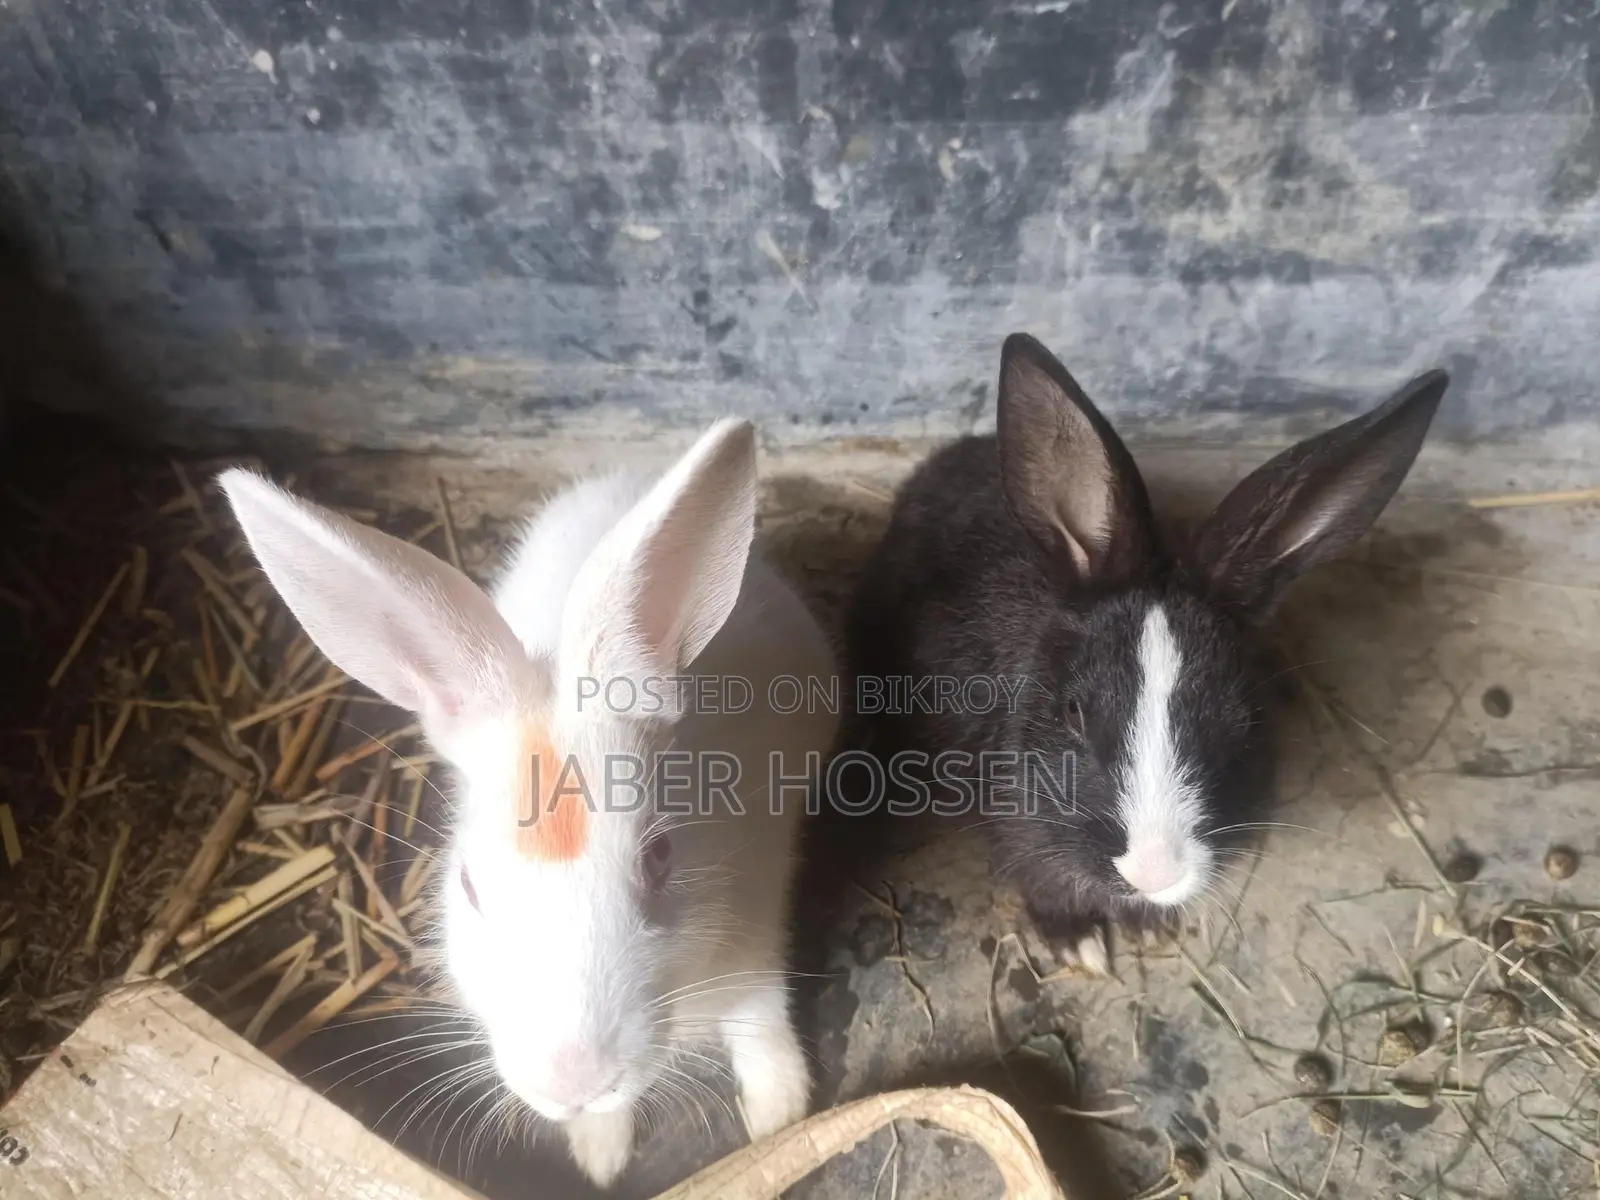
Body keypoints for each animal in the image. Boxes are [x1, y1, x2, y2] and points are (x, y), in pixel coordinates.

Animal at [219, 417, 838, 1189]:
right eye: (467, 885)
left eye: (659, 858)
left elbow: (762, 1021)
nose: (574, 1083)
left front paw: (781, 1115)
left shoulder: (757, 932)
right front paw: (600, 1152)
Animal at [845, 333, 1448, 975]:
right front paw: (1081, 946)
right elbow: (1043, 889)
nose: (1155, 873)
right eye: (1073, 712)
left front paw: (1149, 925)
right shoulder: (1018, 835)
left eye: (1243, 721)